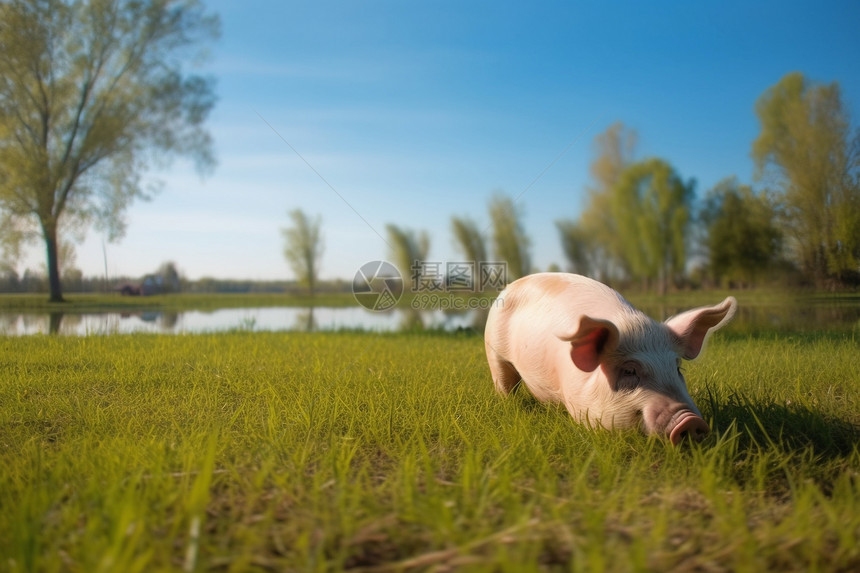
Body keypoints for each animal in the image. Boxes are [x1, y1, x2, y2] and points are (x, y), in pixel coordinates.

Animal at [488, 272, 736, 442]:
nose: (690, 421)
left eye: (677, 369)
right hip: (494, 351)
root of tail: (509, 286)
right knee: (504, 382)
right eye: (629, 370)